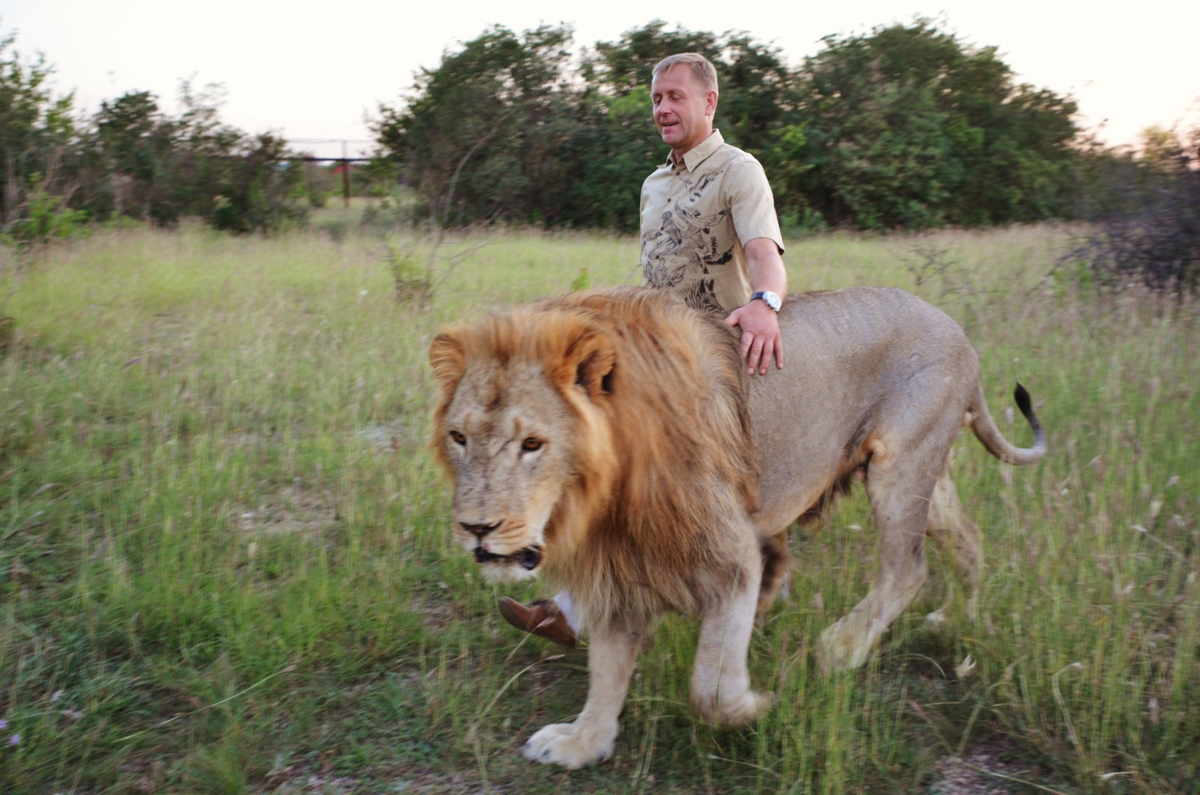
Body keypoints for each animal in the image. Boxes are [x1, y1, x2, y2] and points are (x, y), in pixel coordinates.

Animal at [429, 284, 1041, 768]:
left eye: (532, 444)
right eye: (459, 438)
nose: (476, 529)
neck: (603, 495)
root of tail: (958, 330)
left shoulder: (731, 558)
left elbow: (710, 685)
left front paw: (755, 706)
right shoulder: (619, 562)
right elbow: (607, 667)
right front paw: (584, 742)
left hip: (900, 466)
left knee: (907, 568)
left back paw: (839, 650)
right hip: (927, 480)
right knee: (968, 539)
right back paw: (956, 617)